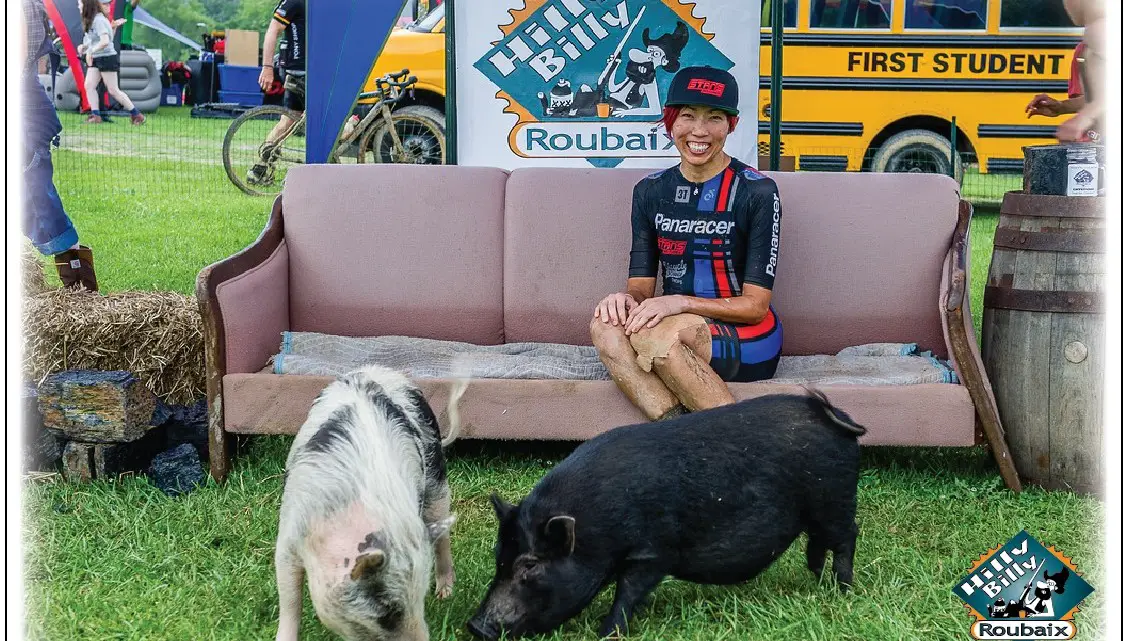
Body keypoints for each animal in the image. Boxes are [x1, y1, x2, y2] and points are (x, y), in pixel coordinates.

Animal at [466, 387, 860, 635]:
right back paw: (817, 578)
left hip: (833, 500)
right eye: (499, 559)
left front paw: (607, 632)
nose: (474, 626)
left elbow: (628, 592)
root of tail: (836, 416)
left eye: (530, 566)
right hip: (817, 511)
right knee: (817, 543)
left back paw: (842, 590)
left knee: (848, 536)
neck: (595, 528)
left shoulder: (651, 552)